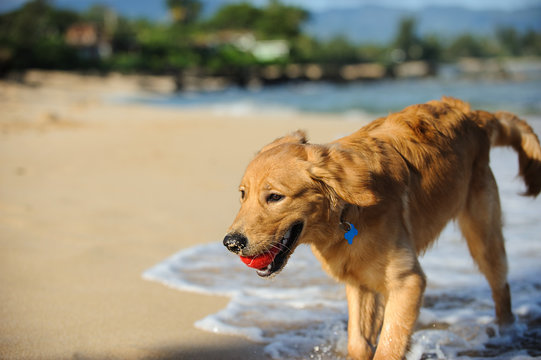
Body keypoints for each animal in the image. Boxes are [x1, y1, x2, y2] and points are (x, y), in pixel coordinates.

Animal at [220, 97, 540, 358]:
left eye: (275, 197)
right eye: (243, 194)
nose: (231, 243)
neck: (348, 212)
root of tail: (475, 114)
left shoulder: (408, 282)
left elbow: (388, 347)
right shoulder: (359, 282)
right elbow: (359, 343)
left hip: (483, 237)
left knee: (501, 288)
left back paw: (506, 333)